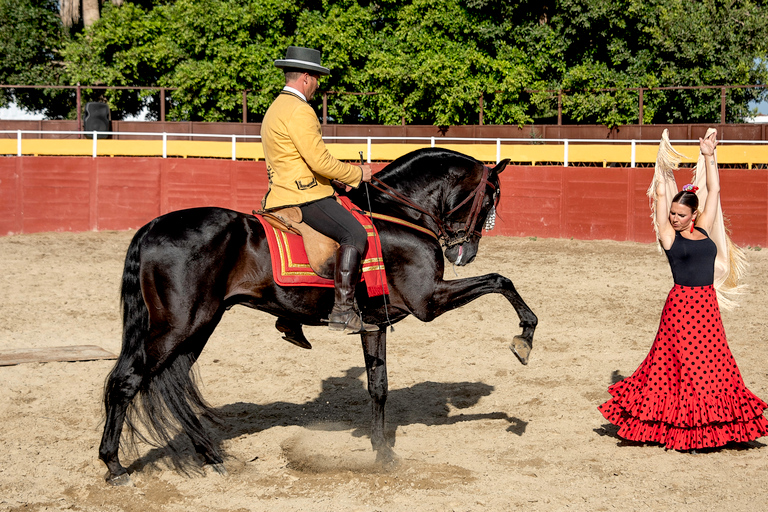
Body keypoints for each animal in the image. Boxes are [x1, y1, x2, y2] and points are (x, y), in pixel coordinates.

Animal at [97, 147, 540, 484]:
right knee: (126, 381)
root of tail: (153, 227)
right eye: (490, 199)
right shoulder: (428, 300)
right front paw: (524, 337)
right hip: (178, 326)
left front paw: (382, 453)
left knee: (170, 386)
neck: (396, 215)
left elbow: (378, 387)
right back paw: (115, 466)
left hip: (199, 327)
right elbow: (501, 280)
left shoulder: (376, 323)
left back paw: (210, 456)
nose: (464, 252)